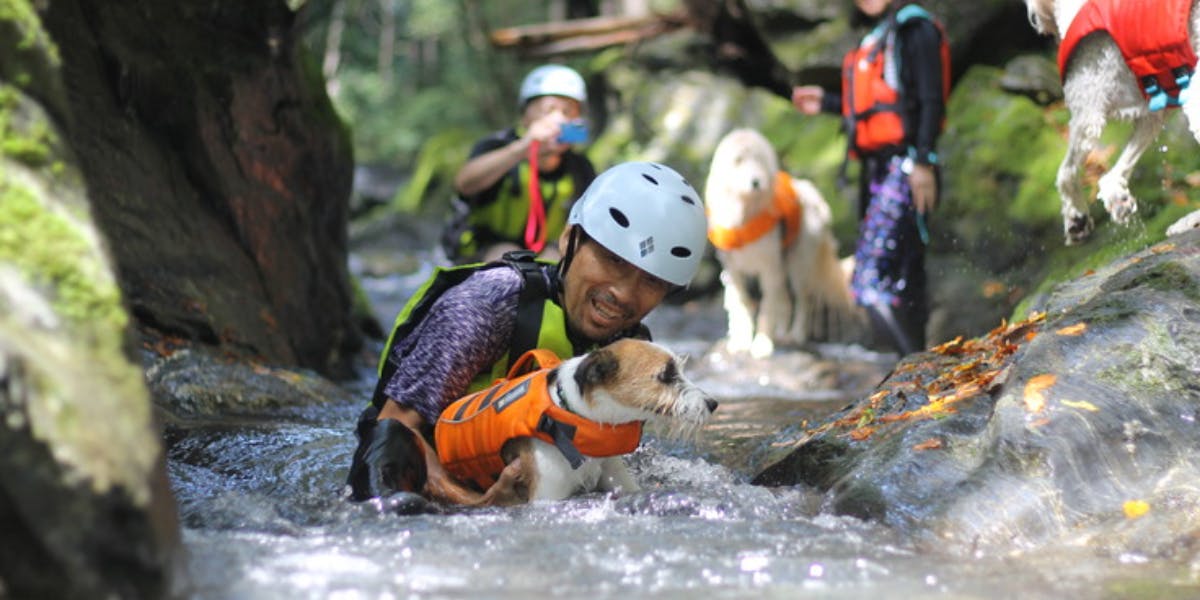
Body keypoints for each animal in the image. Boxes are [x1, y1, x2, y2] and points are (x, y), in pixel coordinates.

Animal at [700, 128, 864, 357]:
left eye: (761, 160)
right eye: (738, 161)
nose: (756, 182)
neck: (746, 214)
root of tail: (813, 193)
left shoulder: (769, 268)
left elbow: (767, 307)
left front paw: (761, 344)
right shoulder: (733, 271)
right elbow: (741, 305)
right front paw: (741, 342)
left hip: (798, 264)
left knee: (803, 301)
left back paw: (795, 335)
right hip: (784, 265)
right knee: (785, 300)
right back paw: (780, 334)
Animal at [1022, 0, 1200, 244]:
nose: (1035, 18)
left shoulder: (1087, 113)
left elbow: (1065, 172)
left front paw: (1075, 217)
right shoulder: (1152, 114)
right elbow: (1120, 167)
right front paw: (1117, 199)